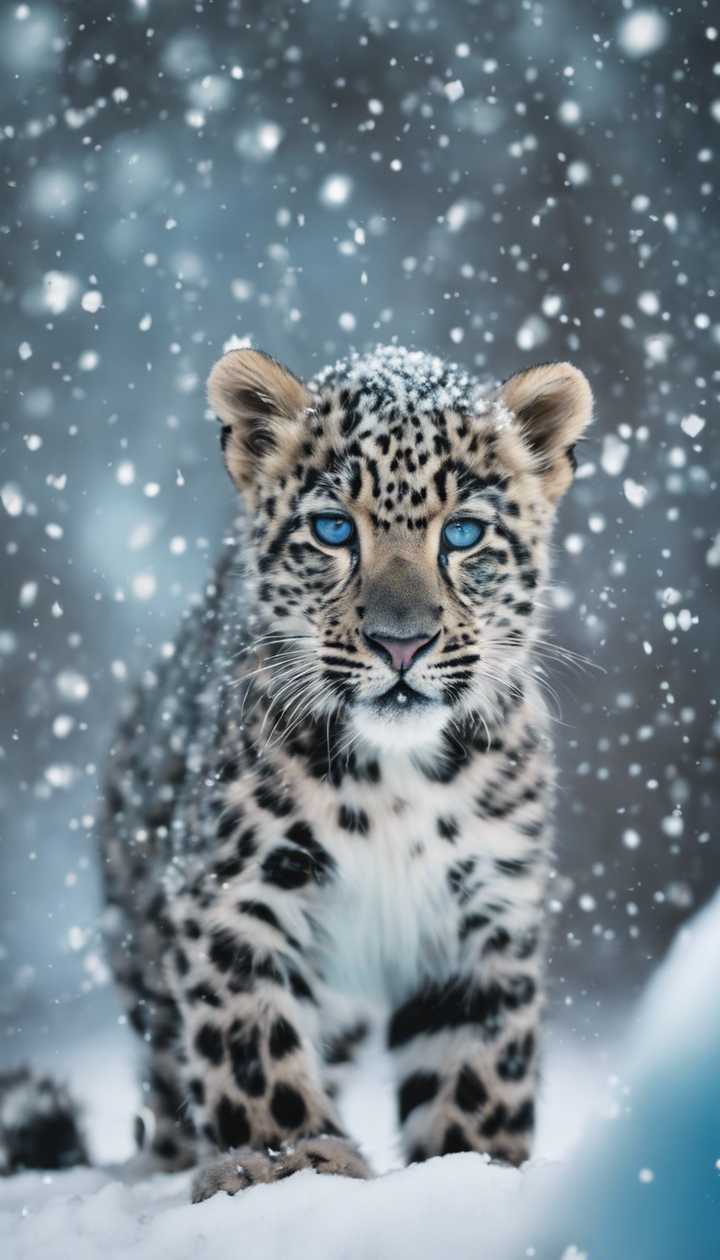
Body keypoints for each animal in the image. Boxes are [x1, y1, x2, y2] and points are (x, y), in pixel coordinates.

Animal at [99, 343, 592, 1202]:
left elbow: (477, 1068)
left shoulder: (484, 913)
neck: (398, 778)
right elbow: (253, 1044)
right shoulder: (236, 892)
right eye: (333, 529)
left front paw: (474, 1167)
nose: (402, 642)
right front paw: (289, 1162)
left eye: (463, 534)